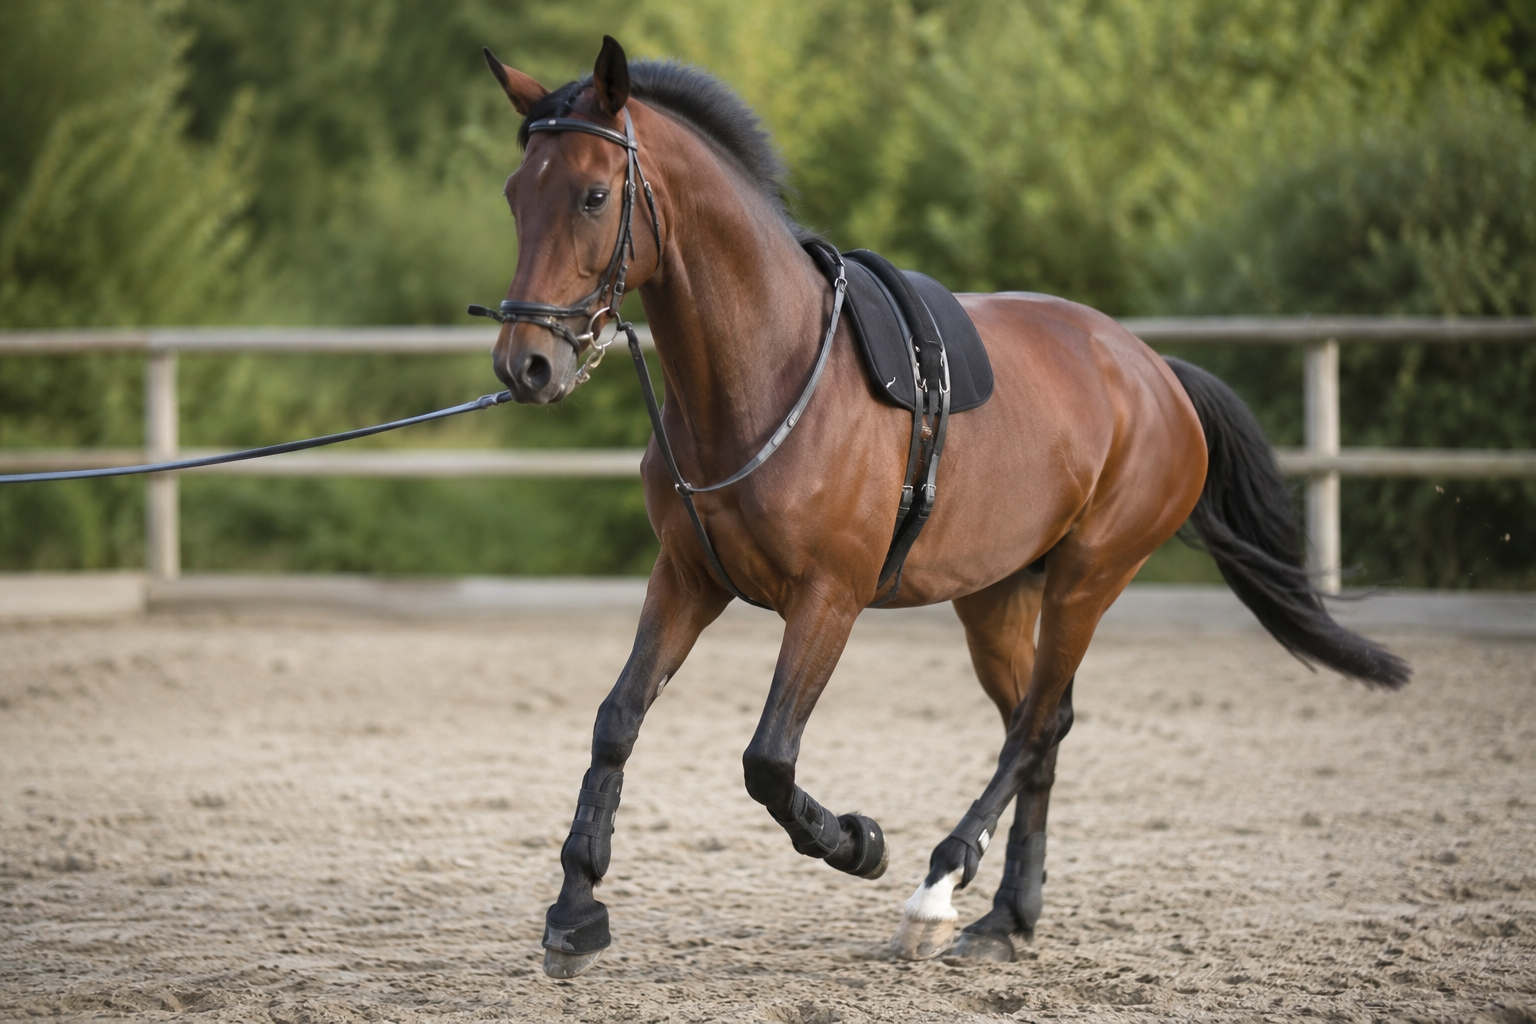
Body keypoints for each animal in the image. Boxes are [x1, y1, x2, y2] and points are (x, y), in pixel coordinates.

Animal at [476, 36, 1410, 979]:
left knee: (1032, 729)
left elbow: (768, 760)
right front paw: (575, 909)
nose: (527, 365)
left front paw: (861, 843)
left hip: (1088, 580)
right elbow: (617, 721)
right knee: (1044, 726)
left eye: (594, 195)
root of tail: (1155, 372)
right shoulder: (688, 578)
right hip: (995, 598)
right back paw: (1007, 915)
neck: (768, 376)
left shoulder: (830, 598)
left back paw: (937, 887)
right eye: (516, 194)